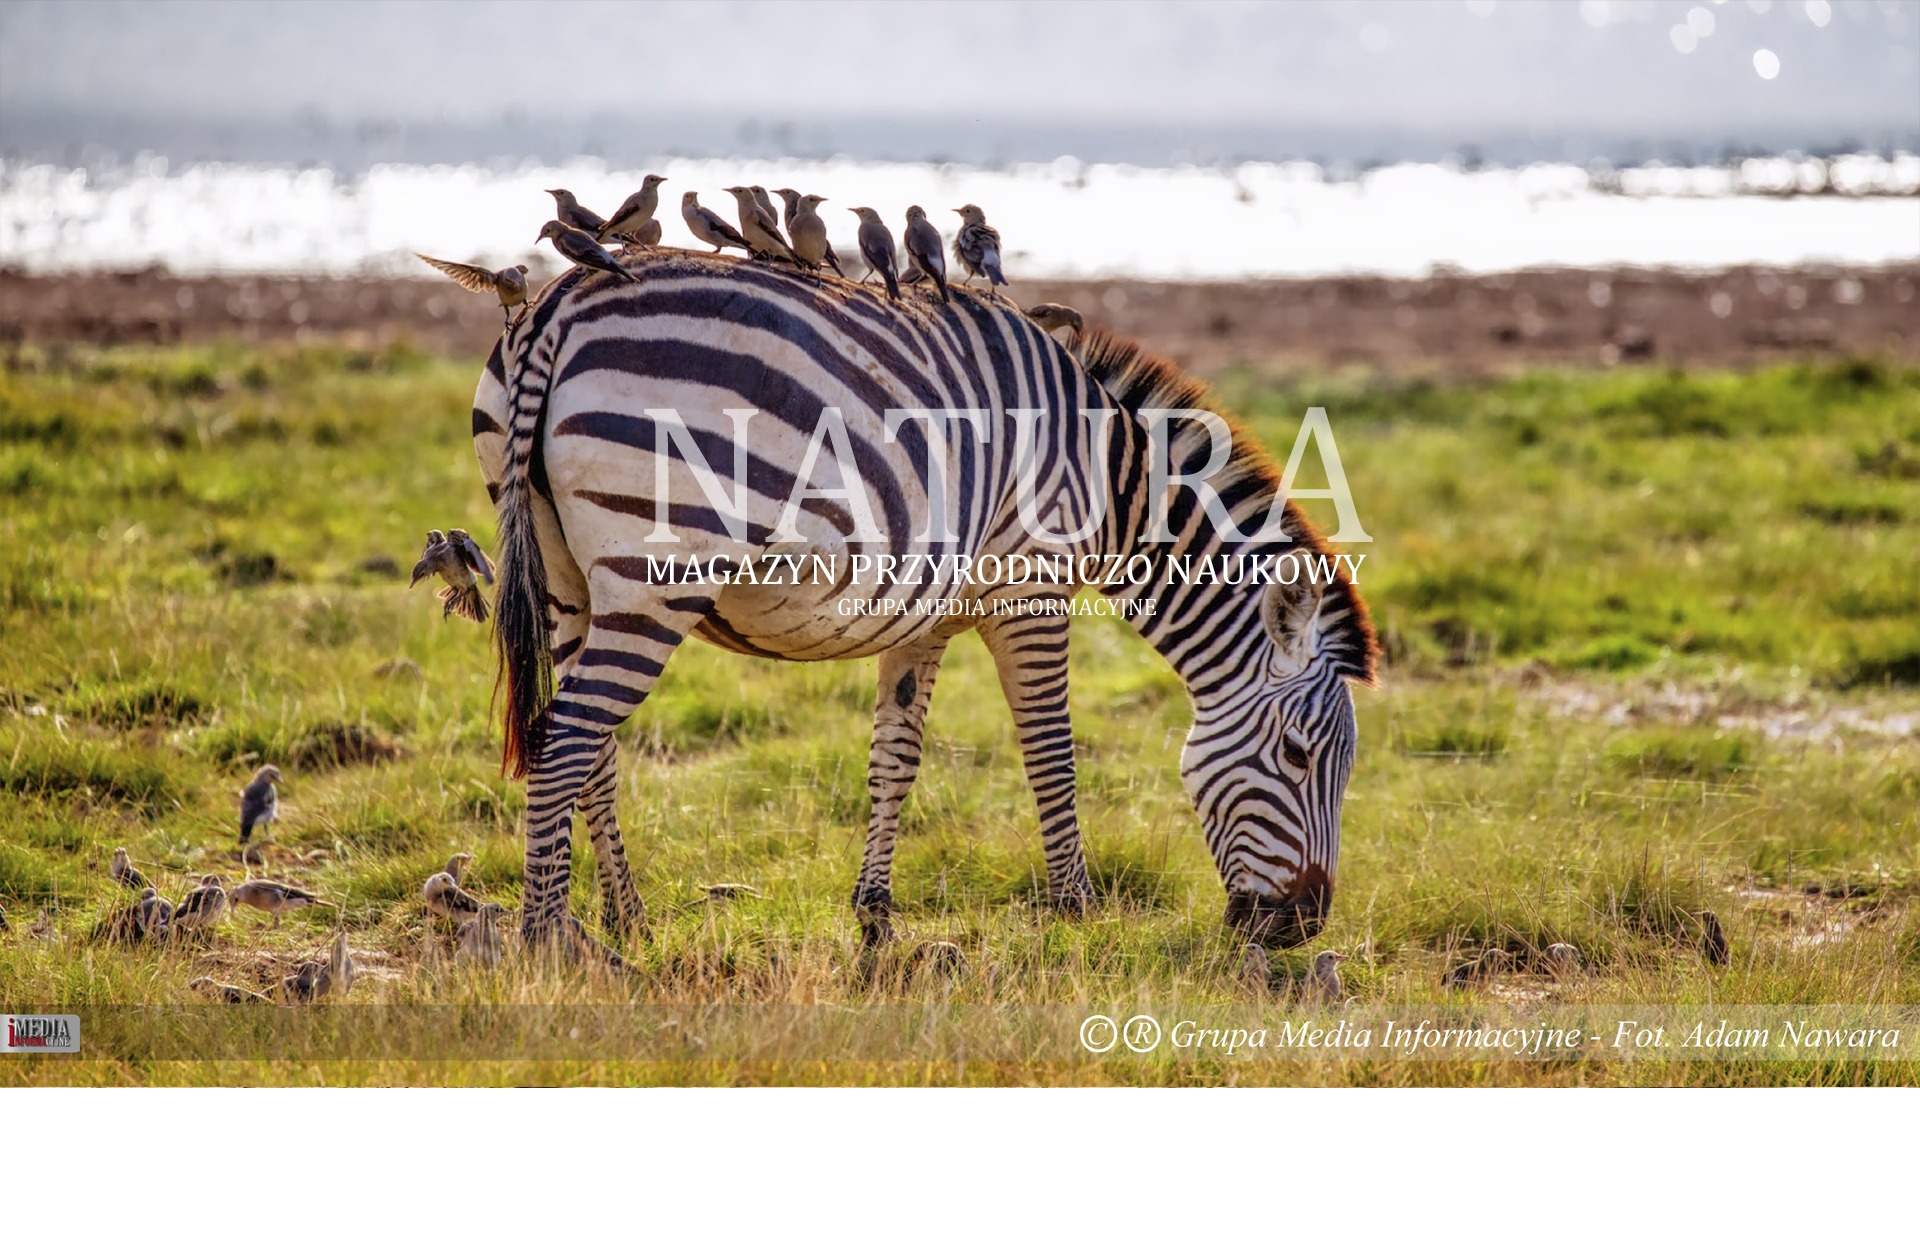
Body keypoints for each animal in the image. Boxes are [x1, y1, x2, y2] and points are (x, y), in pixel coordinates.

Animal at [474, 255, 1382, 964]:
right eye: (1299, 758)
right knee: (568, 737)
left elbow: (896, 757)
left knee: (589, 745)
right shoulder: (1029, 588)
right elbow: (1052, 748)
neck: (1106, 472)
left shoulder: (924, 615)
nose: (1301, 929)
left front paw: (875, 918)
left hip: (566, 578)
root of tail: (559, 303)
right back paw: (546, 940)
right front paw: (1078, 911)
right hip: (652, 576)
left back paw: (625, 921)